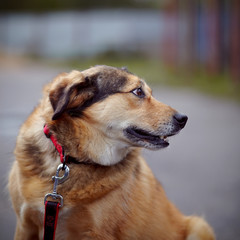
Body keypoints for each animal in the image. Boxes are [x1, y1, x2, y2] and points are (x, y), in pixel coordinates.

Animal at [9, 64, 215, 239]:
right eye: (138, 91)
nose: (184, 119)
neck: (74, 159)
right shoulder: (24, 225)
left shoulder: (98, 233)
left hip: (199, 226)